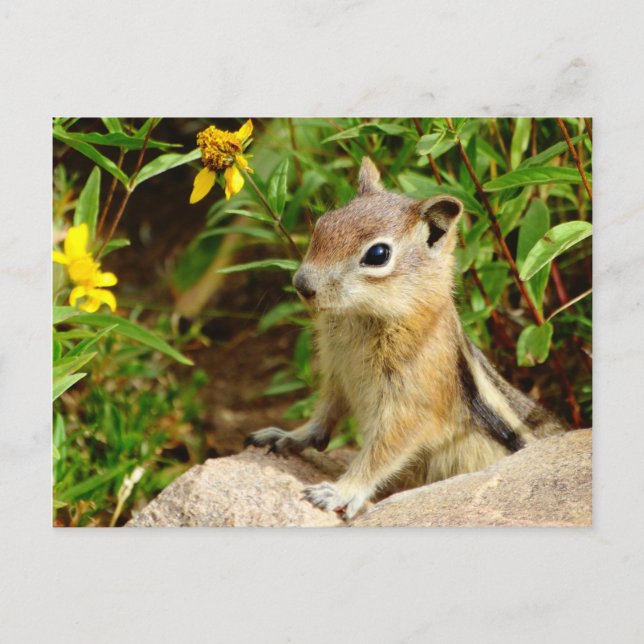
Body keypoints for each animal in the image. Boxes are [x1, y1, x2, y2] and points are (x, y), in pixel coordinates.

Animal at [245, 157, 566, 519]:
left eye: (378, 254)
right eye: (323, 225)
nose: (302, 284)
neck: (362, 319)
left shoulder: (412, 405)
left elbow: (381, 452)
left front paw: (341, 491)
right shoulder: (337, 374)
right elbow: (324, 413)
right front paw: (289, 435)